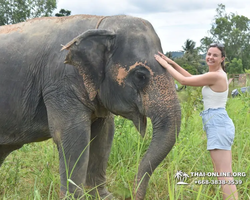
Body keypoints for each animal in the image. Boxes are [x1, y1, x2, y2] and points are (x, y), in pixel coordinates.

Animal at [0, 14, 180, 199]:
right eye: (140, 76)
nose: (132, 194)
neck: (100, 23)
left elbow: (104, 135)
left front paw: (104, 197)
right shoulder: (61, 84)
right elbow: (74, 136)